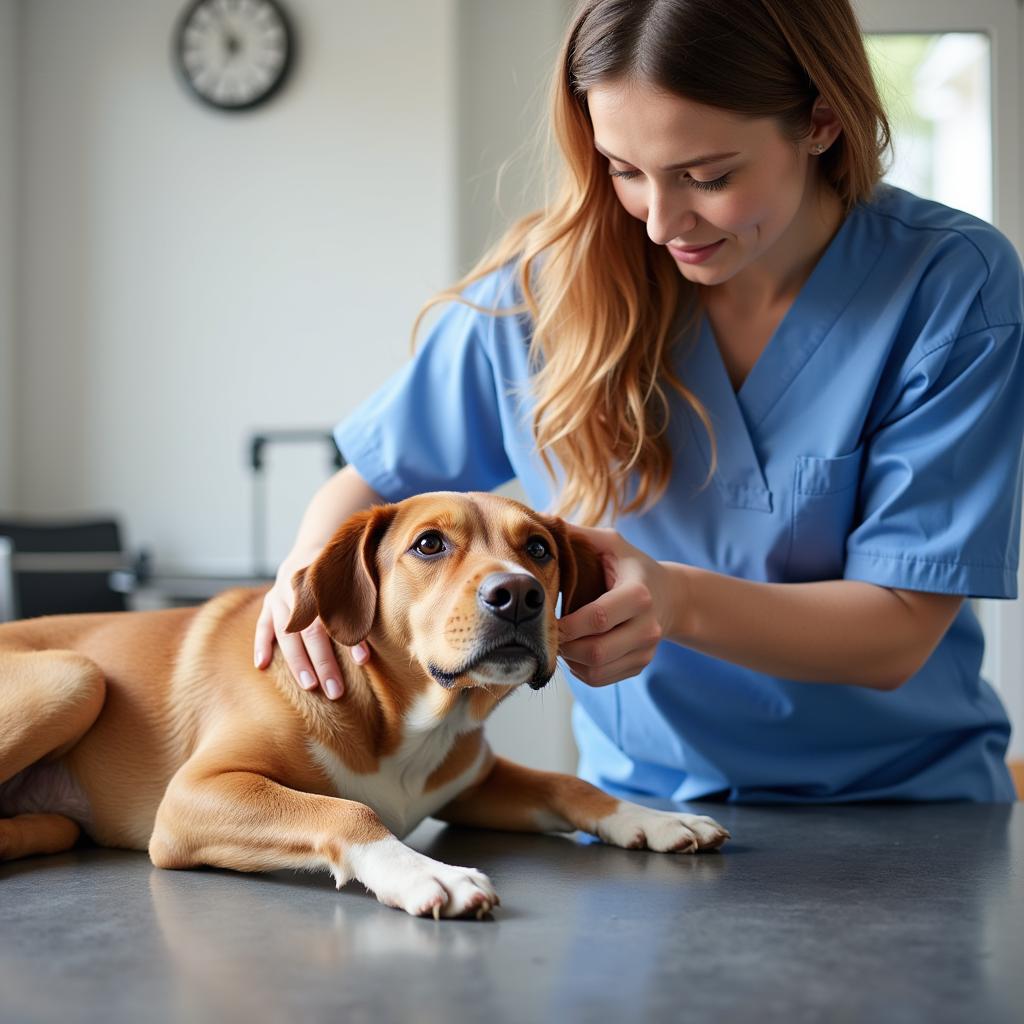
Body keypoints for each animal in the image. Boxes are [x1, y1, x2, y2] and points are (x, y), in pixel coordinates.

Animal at [4, 491, 733, 917]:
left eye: (539, 549)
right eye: (430, 544)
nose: (519, 595)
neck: (406, 721)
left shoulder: (474, 781)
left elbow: (567, 783)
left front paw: (651, 817)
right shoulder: (192, 797)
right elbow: (345, 809)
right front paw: (424, 873)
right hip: (76, 675)